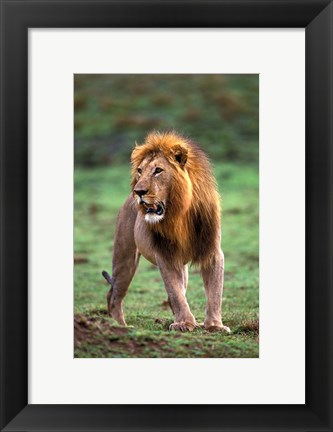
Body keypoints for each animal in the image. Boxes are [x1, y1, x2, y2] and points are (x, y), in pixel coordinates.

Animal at [102, 130, 230, 332]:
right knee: (114, 294)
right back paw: (121, 326)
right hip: (125, 258)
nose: (138, 192)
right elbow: (175, 292)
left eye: (158, 170)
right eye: (140, 170)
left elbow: (215, 292)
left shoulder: (212, 251)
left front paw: (214, 325)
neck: (180, 213)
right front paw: (184, 323)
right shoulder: (165, 254)